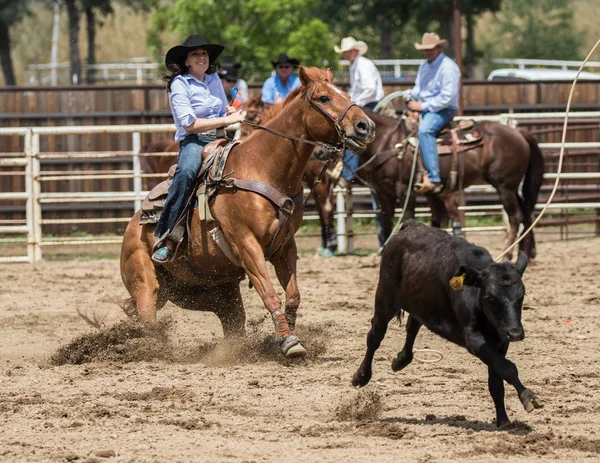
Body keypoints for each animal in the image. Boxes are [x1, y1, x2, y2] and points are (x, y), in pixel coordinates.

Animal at [120, 67, 376, 358]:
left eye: (347, 95)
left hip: (212, 293)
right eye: (323, 98)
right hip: (147, 283)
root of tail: (132, 227)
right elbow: (269, 293)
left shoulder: (284, 246)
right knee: (147, 315)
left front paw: (285, 336)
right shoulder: (246, 244)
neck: (263, 168)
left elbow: (293, 295)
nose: (366, 126)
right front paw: (289, 342)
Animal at [354, 109, 548, 260]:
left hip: (504, 186)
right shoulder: (384, 193)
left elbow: (407, 217)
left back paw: (507, 254)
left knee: (515, 216)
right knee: (526, 212)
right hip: (512, 187)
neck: (389, 141)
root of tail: (519, 132)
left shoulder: (404, 190)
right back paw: (527, 253)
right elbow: (387, 224)